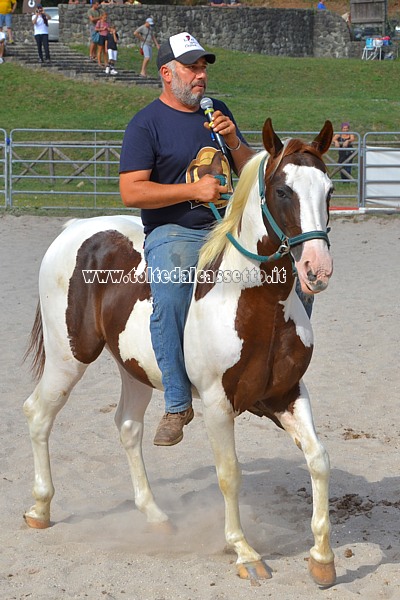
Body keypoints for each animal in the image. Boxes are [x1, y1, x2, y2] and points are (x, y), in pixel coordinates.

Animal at [23, 120, 336, 584]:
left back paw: (155, 516)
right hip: (69, 358)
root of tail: (75, 228)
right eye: (282, 190)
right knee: (39, 414)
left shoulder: (287, 394)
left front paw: (322, 557)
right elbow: (229, 474)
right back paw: (40, 508)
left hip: (133, 368)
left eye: (329, 190)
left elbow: (318, 460)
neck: (251, 302)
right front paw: (244, 551)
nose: (317, 269)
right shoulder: (217, 402)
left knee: (128, 427)